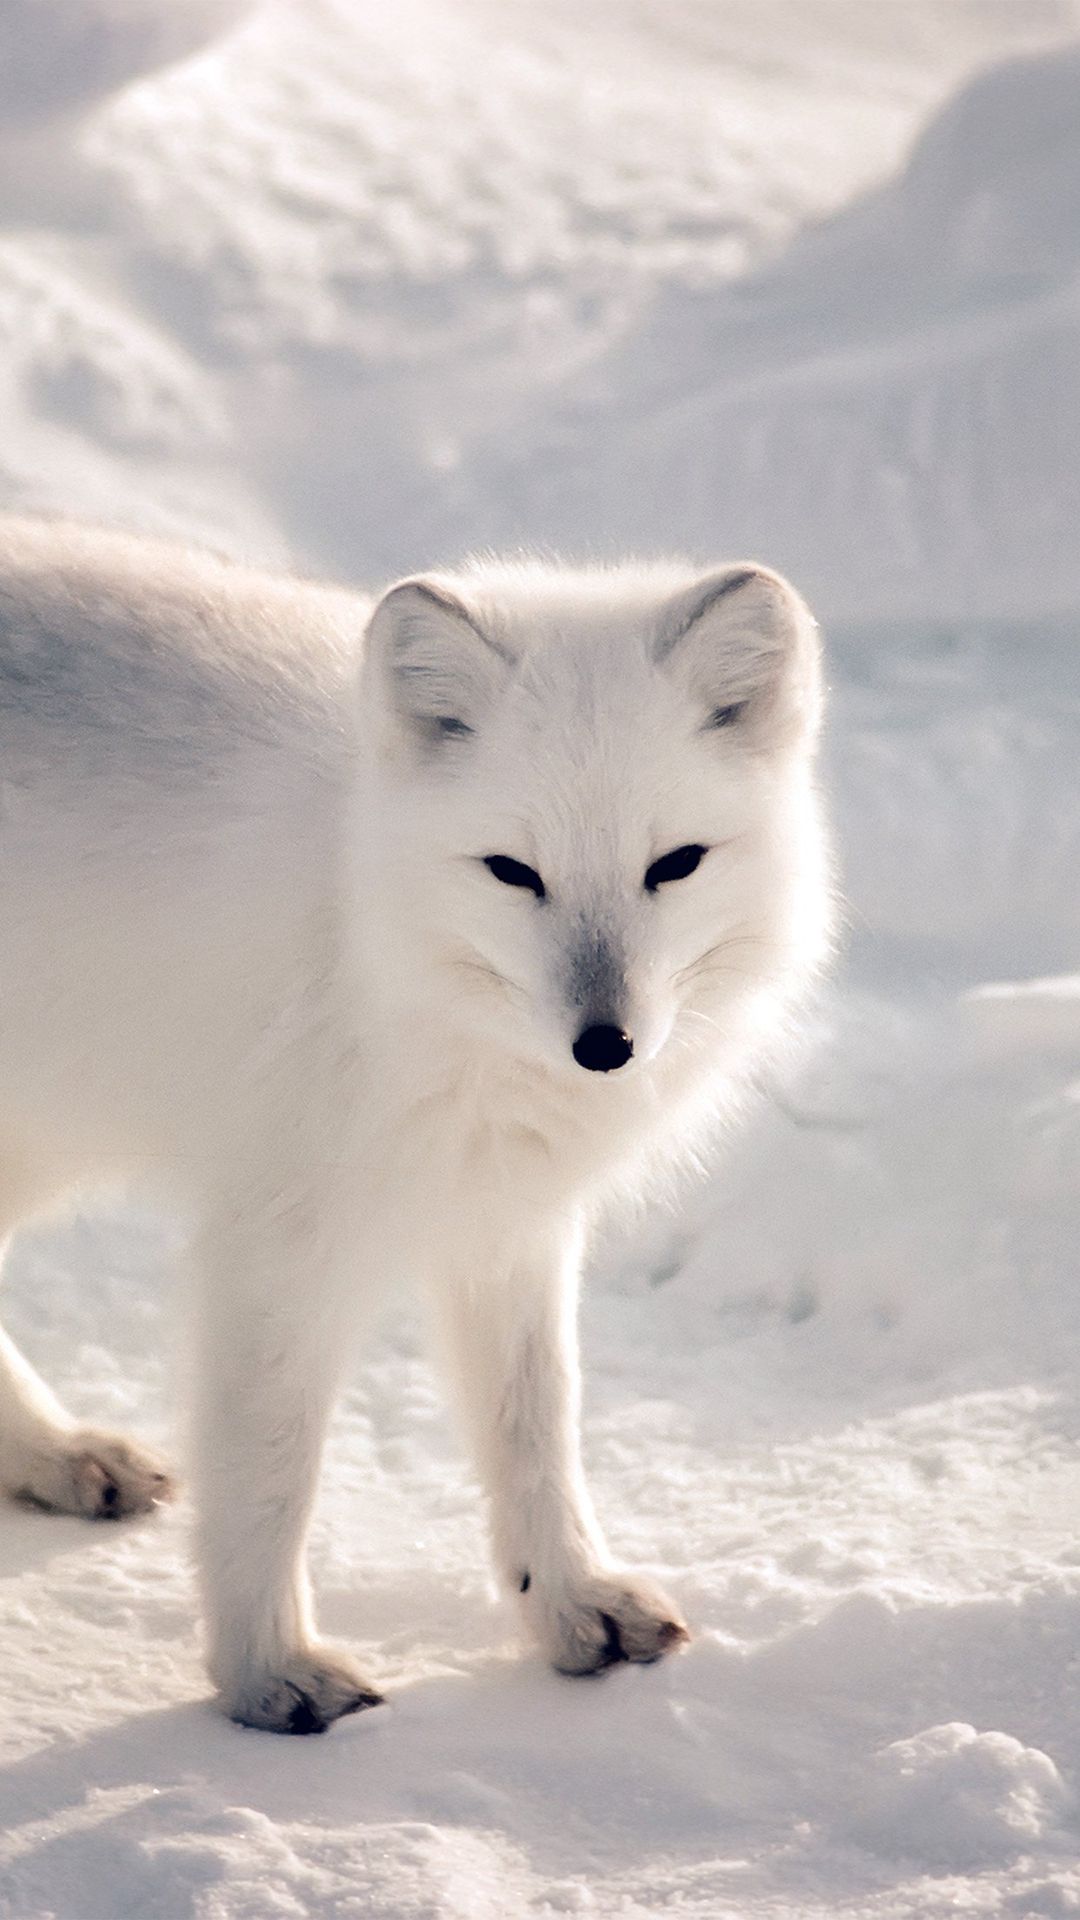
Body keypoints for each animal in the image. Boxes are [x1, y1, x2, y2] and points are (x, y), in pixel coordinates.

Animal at [0, 516, 831, 1733]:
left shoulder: (506, 1219)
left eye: (674, 865)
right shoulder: (278, 1242)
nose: (606, 1046)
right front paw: (267, 1673)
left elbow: (537, 1424)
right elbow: (270, 1468)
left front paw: (569, 1604)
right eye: (512, 872)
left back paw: (54, 1454)